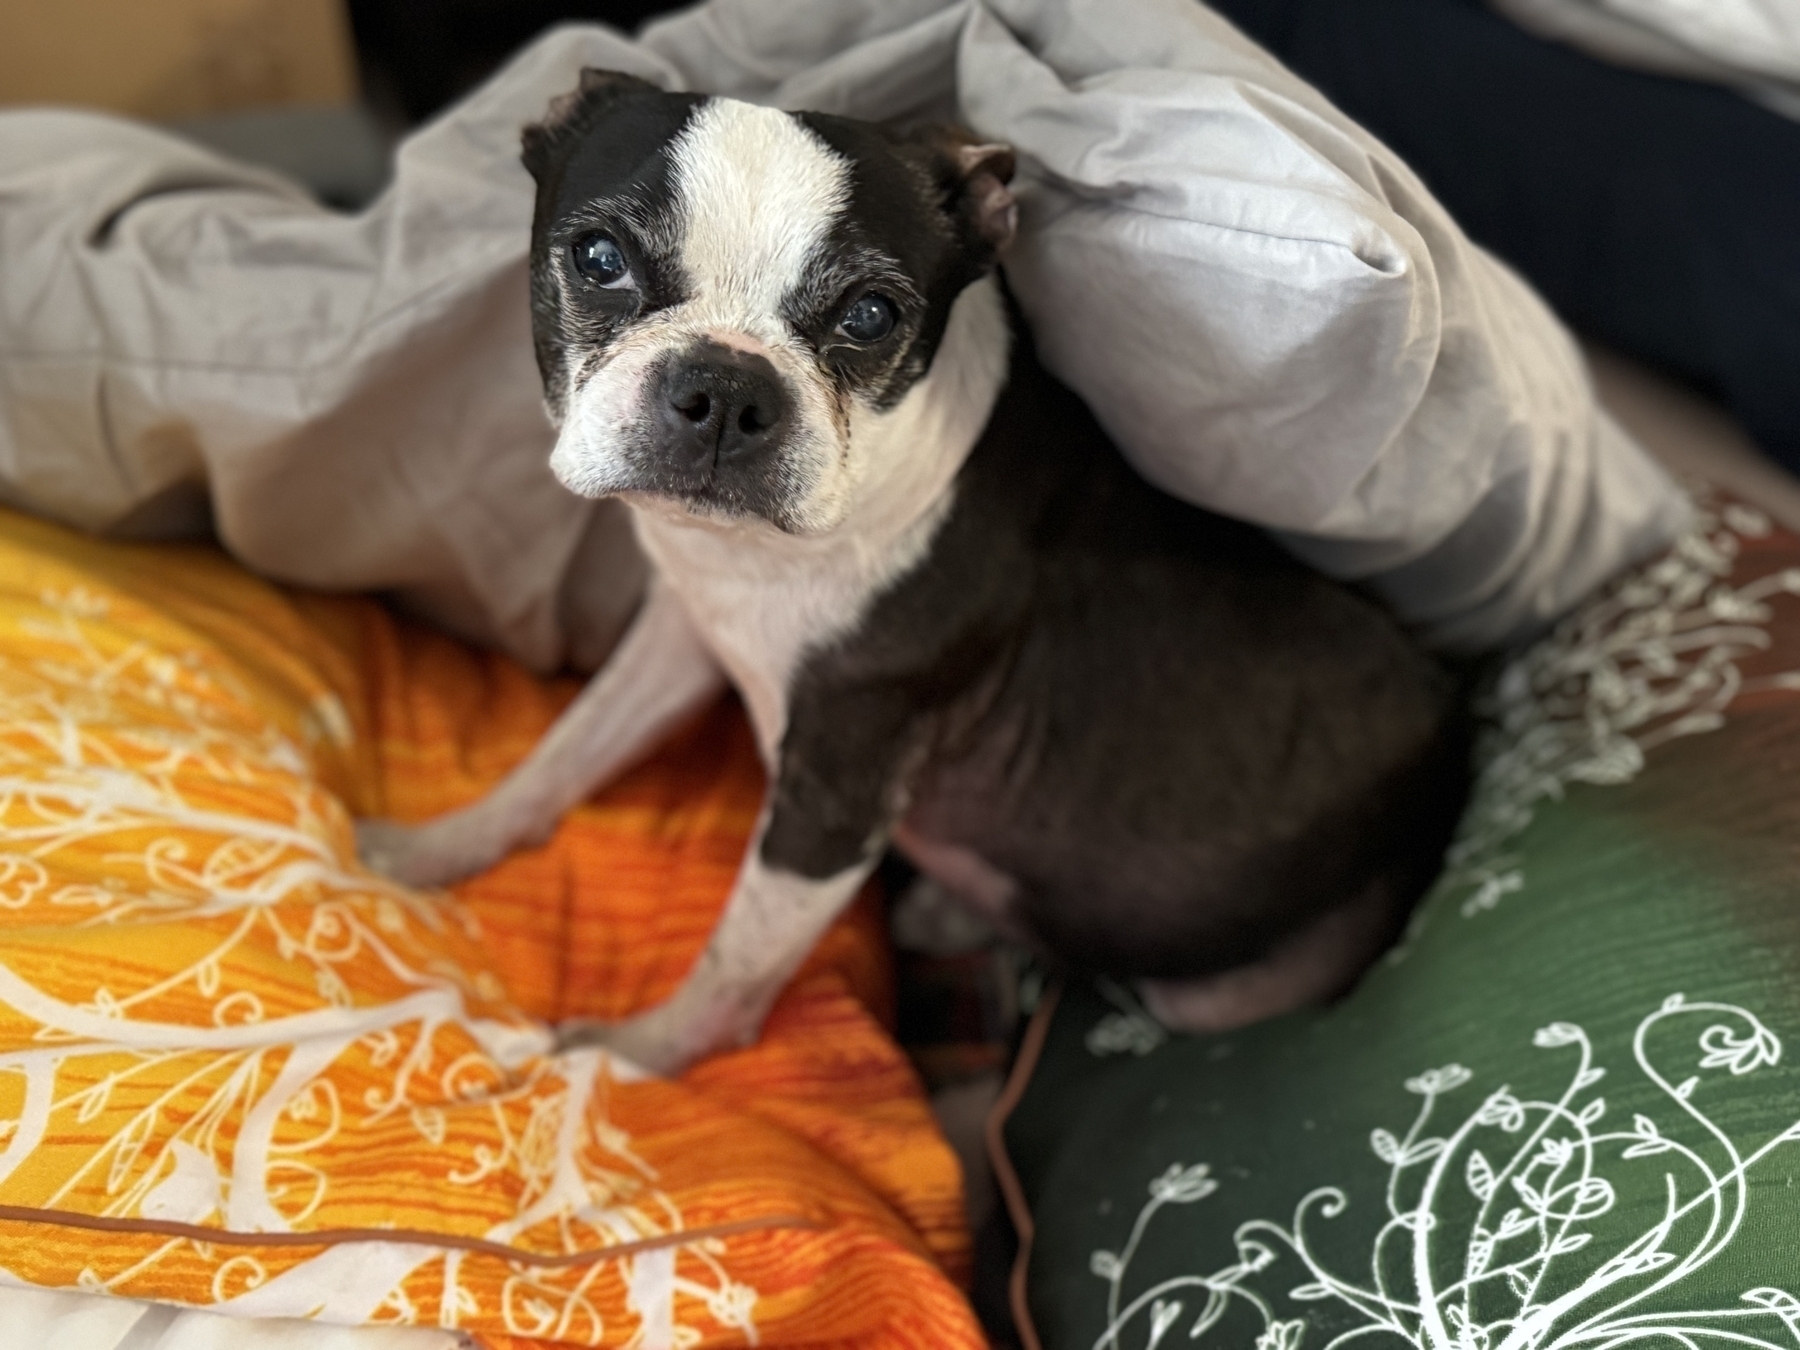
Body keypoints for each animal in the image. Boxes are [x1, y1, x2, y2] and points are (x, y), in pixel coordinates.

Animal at [358, 71, 1468, 1080]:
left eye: (870, 315)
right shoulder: (685, 630)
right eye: (599, 259)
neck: (765, 554)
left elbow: (738, 952)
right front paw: (433, 851)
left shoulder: (837, 787)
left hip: (1219, 986)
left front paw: (635, 1060)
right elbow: (566, 750)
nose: (725, 385)